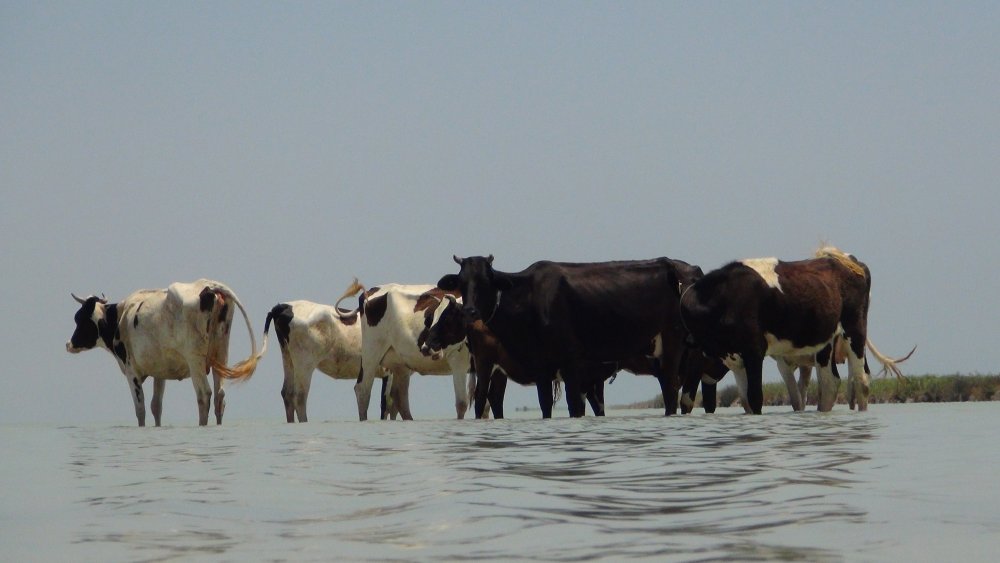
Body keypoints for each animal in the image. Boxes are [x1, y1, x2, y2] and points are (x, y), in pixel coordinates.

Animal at [66, 279, 265, 426]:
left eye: (79, 318)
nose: (69, 344)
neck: (121, 317)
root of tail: (209, 285)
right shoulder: (159, 371)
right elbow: (156, 406)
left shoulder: (131, 371)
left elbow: (141, 409)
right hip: (221, 354)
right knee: (219, 396)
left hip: (195, 360)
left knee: (204, 395)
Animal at [340, 283, 473, 421]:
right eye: (431, 319)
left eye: (447, 319)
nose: (426, 347)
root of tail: (374, 289)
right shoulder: (458, 360)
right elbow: (462, 403)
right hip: (371, 351)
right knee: (363, 390)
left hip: (400, 364)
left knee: (398, 397)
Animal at [437, 255, 696, 418]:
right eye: (461, 282)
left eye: (485, 281)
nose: (470, 311)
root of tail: (672, 265)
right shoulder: (542, 366)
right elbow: (545, 405)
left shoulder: (572, 361)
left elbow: (575, 405)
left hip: (673, 344)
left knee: (672, 392)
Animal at [678, 246, 905, 414]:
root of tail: (847, 260)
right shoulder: (735, 359)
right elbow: (746, 401)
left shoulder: (754, 351)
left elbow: (756, 397)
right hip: (826, 341)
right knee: (830, 383)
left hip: (854, 330)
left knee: (860, 381)